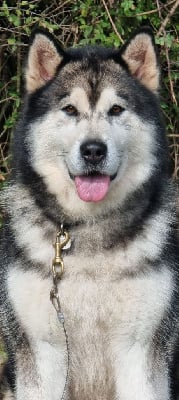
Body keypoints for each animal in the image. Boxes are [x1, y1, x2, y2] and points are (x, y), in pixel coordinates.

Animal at [0, 26, 179, 398]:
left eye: (116, 109)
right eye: (69, 109)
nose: (94, 150)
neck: (88, 225)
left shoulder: (140, 350)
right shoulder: (41, 352)